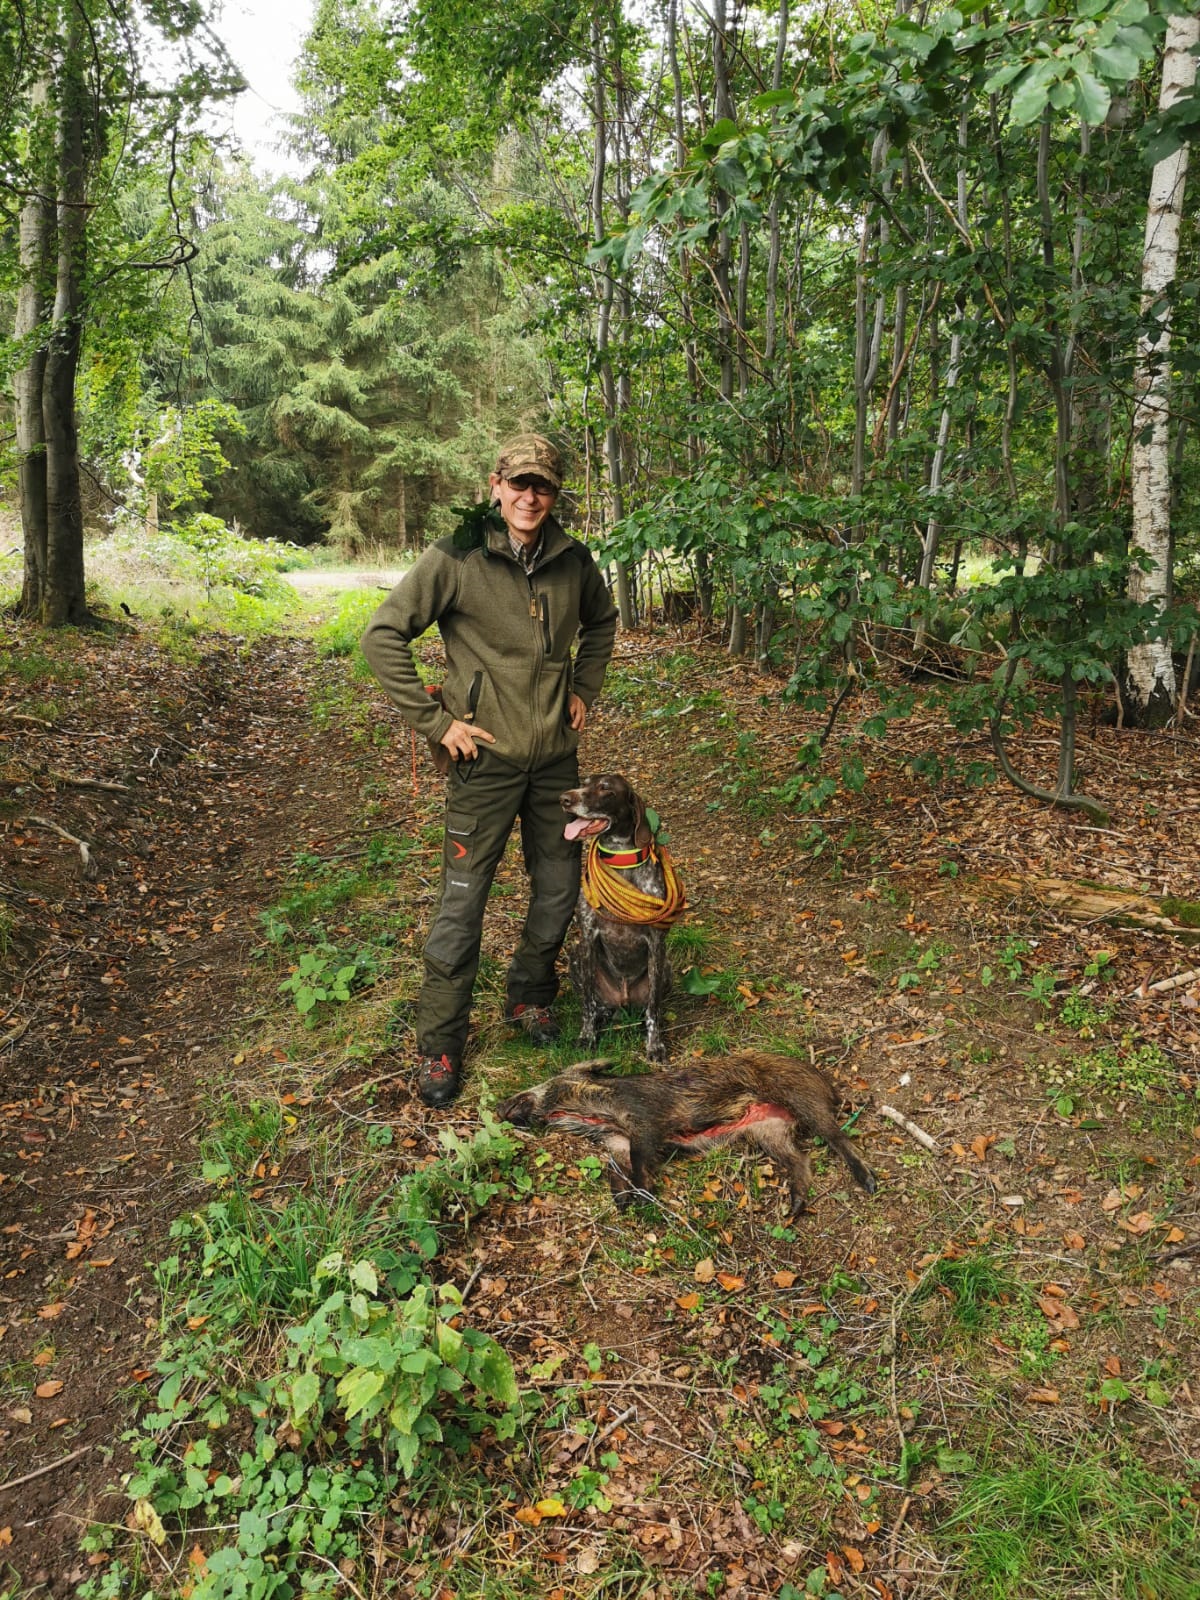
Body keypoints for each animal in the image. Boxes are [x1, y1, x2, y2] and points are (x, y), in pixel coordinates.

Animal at [498, 1051, 876, 1219]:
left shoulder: (644, 1121)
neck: (594, 1113)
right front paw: (623, 1203)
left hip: (802, 1098)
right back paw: (792, 1209)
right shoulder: (616, 1141)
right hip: (769, 1131)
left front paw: (643, 1198)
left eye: (556, 1079)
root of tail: (827, 1084)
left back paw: (869, 1183)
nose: (500, 1106)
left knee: (838, 1138)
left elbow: (640, 1160)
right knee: (802, 1160)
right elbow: (613, 1169)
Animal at [560, 773, 680, 1061]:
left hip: (666, 967)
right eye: (584, 782)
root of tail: (623, 1000)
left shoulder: (656, 943)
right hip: (576, 956)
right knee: (595, 1001)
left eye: (605, 788)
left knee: (649, 1006)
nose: (564, 799)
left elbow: (654, 1007)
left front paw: (654, 1045)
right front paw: (587, 1036)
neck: (621, 863)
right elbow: (587, 1003)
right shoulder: (588, 937)